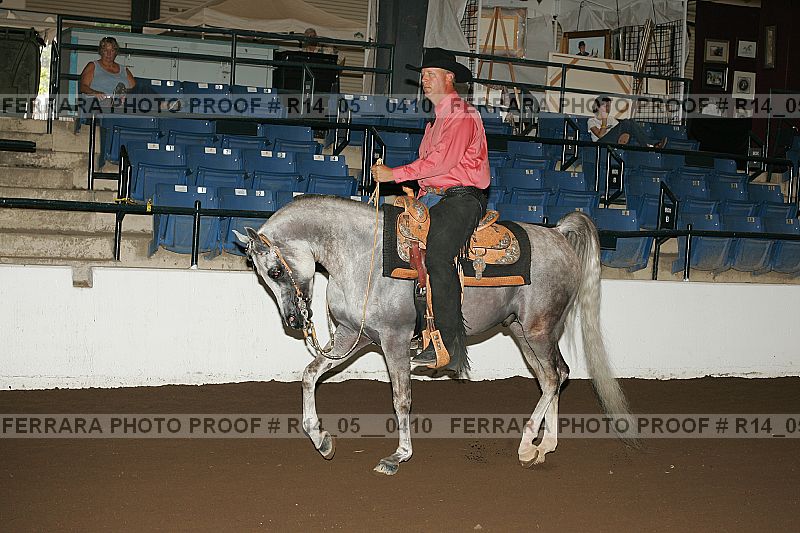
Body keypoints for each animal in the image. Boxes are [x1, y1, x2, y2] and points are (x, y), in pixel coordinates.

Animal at [234, 194, 632, 475]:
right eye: (261, 274)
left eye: (275, 270)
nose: (293, 320)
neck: (362, 257)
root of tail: (558, 235)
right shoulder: (351, 335)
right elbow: (309, 374)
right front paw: (321, 439)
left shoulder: (393, 341)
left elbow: (401, 399)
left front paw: (398, 455)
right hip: (524, 331)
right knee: (556, 374)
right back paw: (544, 446)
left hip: (537, 330)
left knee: (552, 376)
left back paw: (525, 445)